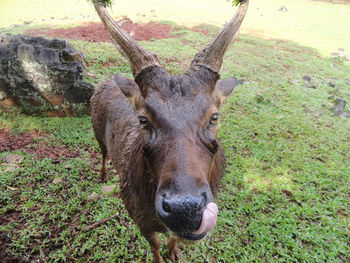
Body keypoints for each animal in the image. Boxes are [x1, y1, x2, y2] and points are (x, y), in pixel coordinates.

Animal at [90, 1, 249, 262]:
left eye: (214, 116)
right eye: (143, 119)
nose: (184, 209)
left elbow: (173, 239)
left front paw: (174, 251)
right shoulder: (137, 217)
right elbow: (154, 245)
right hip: (96, 132)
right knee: (103, 153)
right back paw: (103, 174)